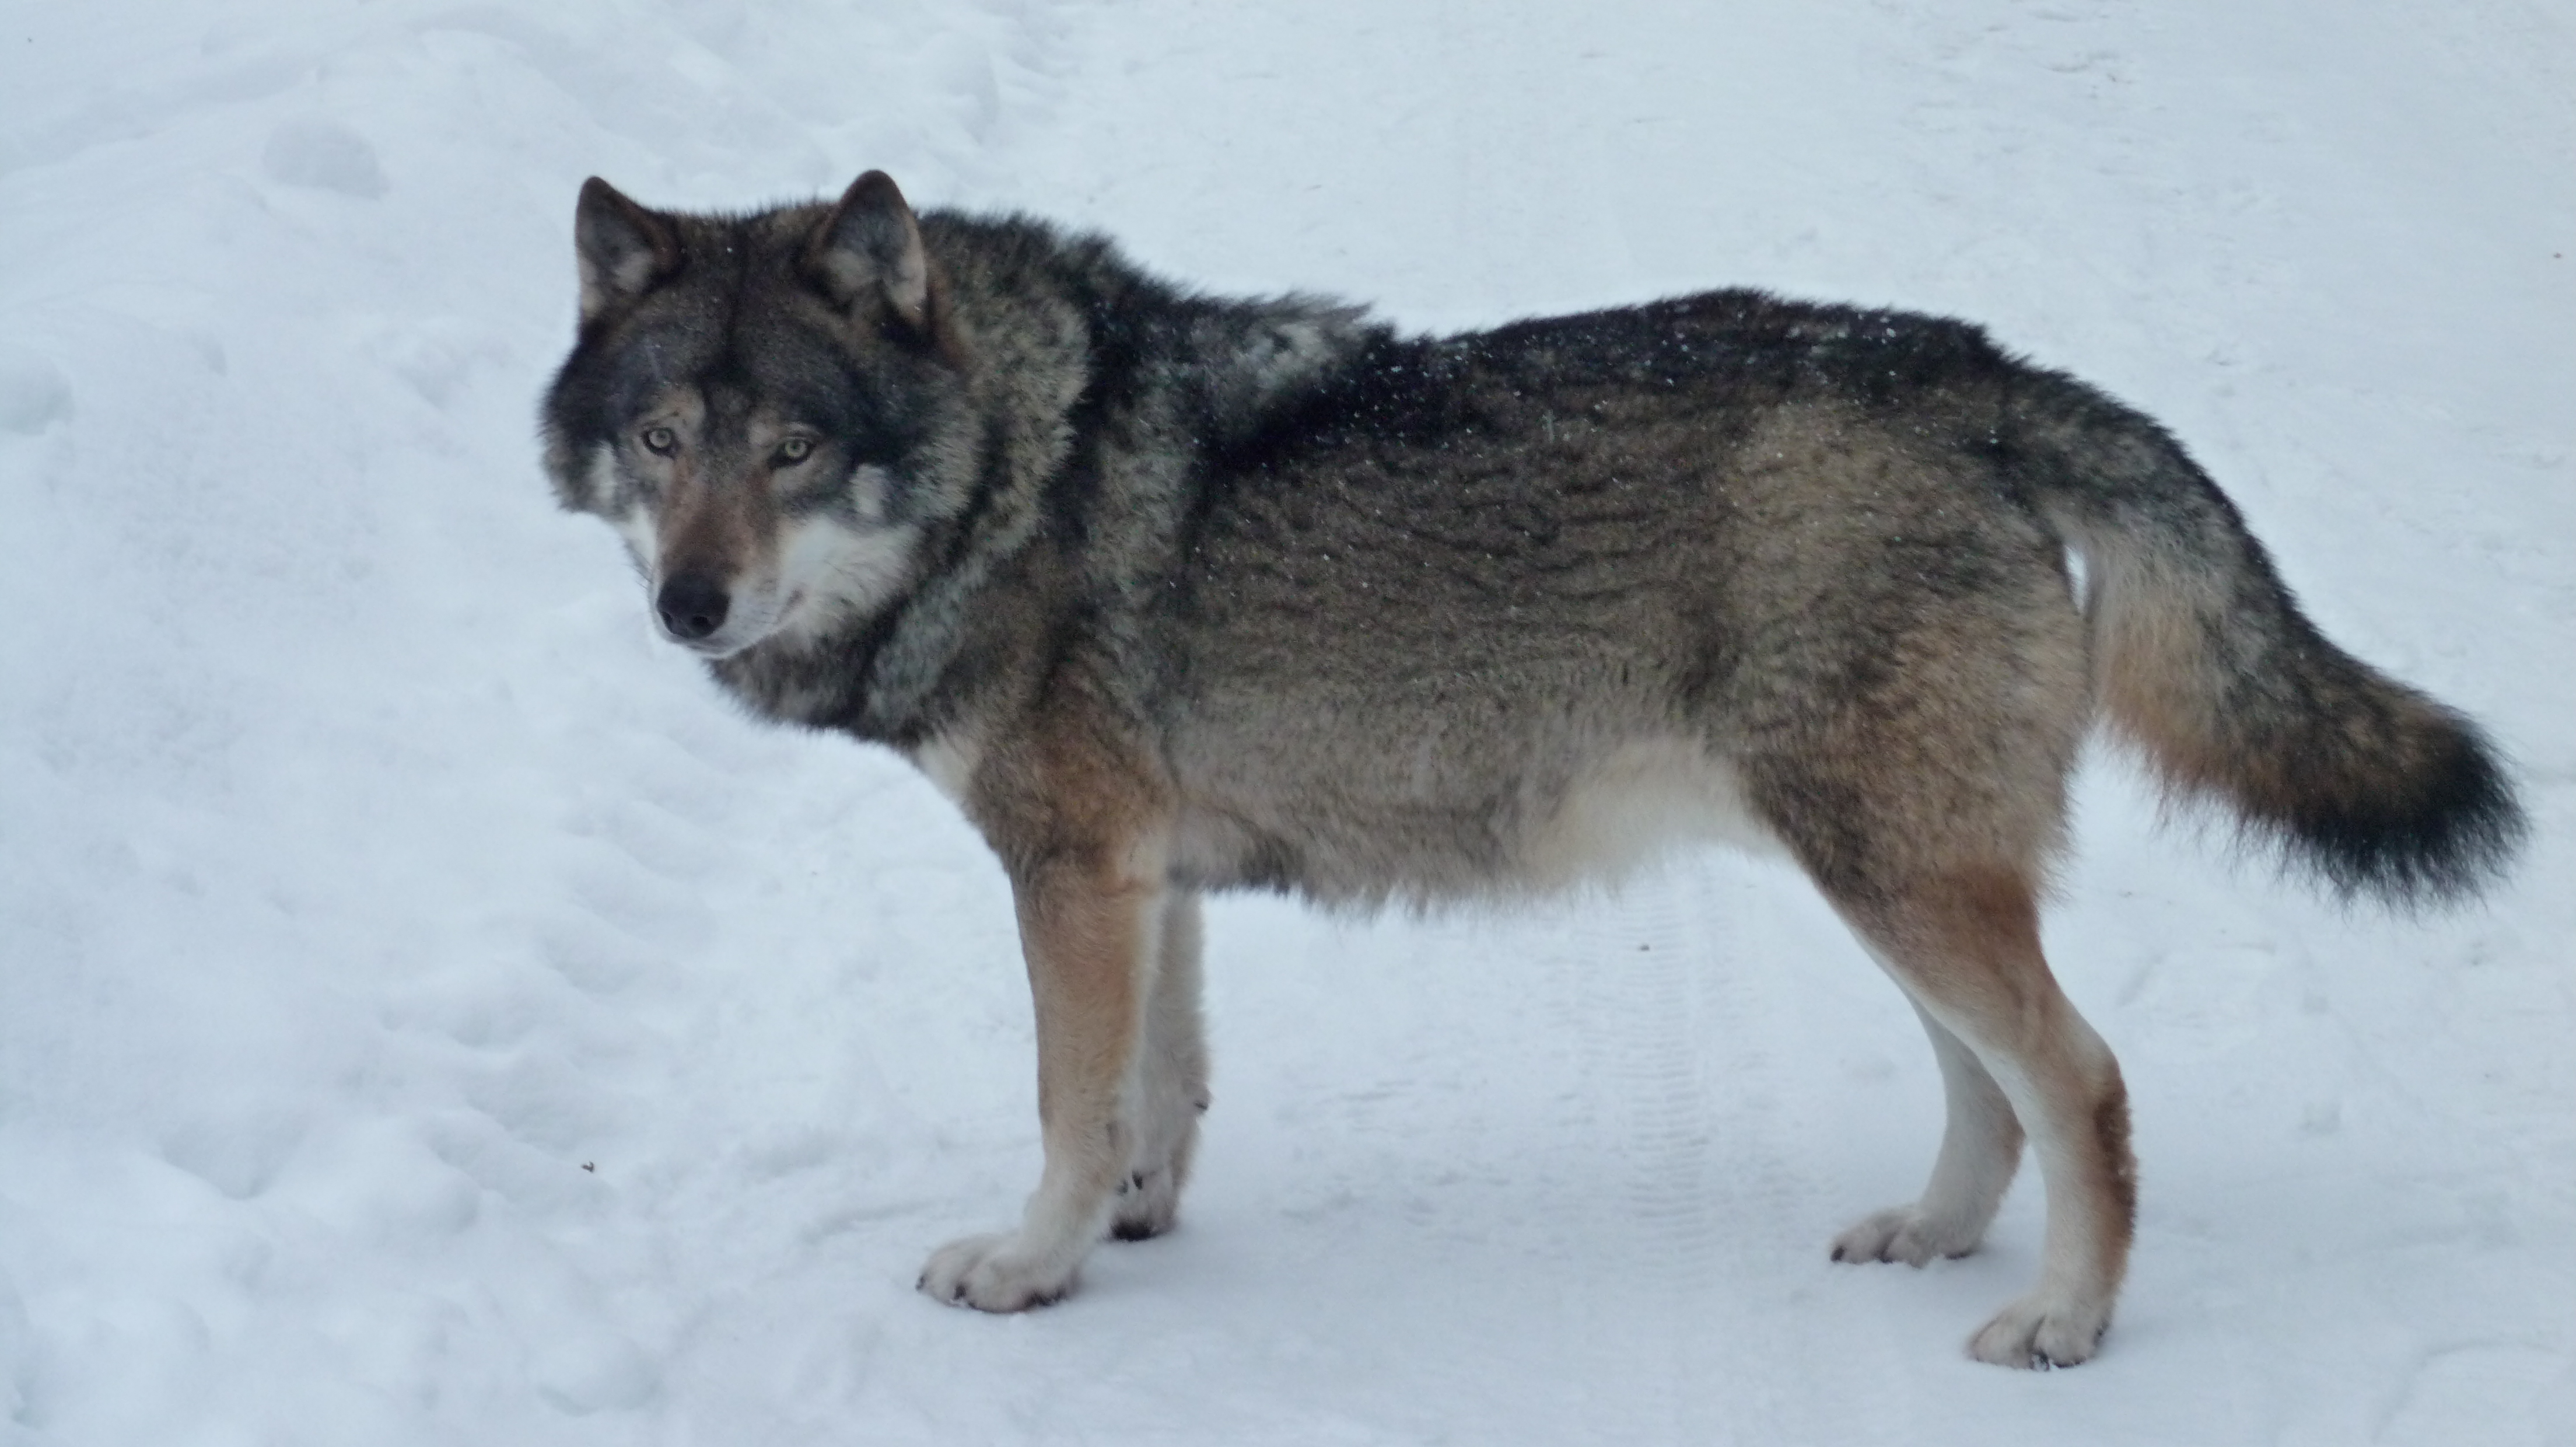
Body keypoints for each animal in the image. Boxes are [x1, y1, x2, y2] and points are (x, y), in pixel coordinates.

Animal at [539, 171, 2525, 1367]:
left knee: (2086, 1083)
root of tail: (1975, 370)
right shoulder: (1145, 874)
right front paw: (1131, 1225)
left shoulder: (1070, 871)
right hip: (1883, 876)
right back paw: (1939, 1236)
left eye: (792, 449)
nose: (690, 605)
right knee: (1991, 1090)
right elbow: (1158, 1086)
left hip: (1896, 874)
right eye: (663, 439)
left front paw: (1031, 1268)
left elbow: (1064, 1099)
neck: (1020, 463)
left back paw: (2062, 1326)